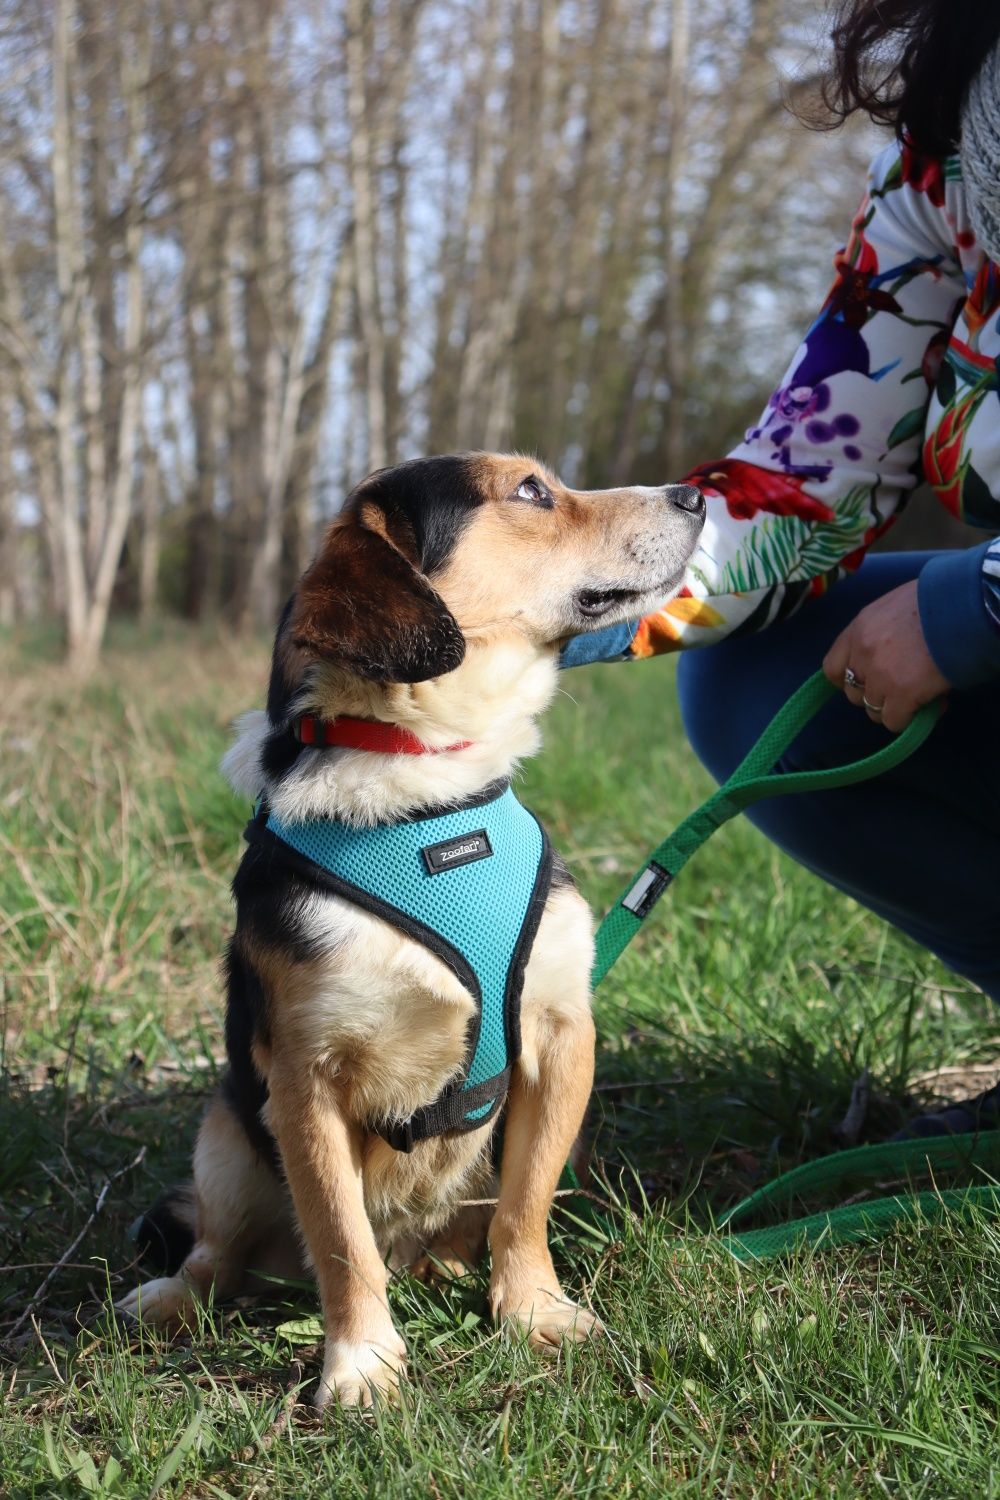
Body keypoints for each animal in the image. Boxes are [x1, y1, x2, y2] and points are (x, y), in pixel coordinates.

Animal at [119, 453, 704, 1404]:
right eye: (531, 490)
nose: (695, 493)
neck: (427, 788)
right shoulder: (305, 1081)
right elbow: (341, 1242)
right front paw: (361, 1361)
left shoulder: (561, 1035)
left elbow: (524, 1207)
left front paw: (532, 1310)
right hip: (227, 1140)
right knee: (218, 1249)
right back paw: (171, 1297)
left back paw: (448, 1271)